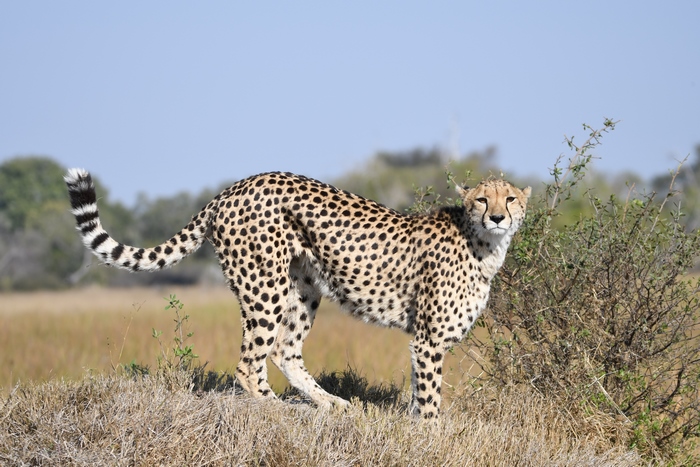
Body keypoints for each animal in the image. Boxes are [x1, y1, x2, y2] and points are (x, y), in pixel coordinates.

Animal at [64, 168, 531, 419]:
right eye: (481, 200)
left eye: (509, 198)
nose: (497, 217)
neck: (483, 245)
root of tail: (235, 186)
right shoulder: (429, 339)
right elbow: (430, 396)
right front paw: (432, 433)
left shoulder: (422, 341)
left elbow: (420, 390)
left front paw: (416, 425)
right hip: (263, 285)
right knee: (248, 363)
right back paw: (278, 409)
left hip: (302, 288)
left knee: (283, 350)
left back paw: (329, 403)